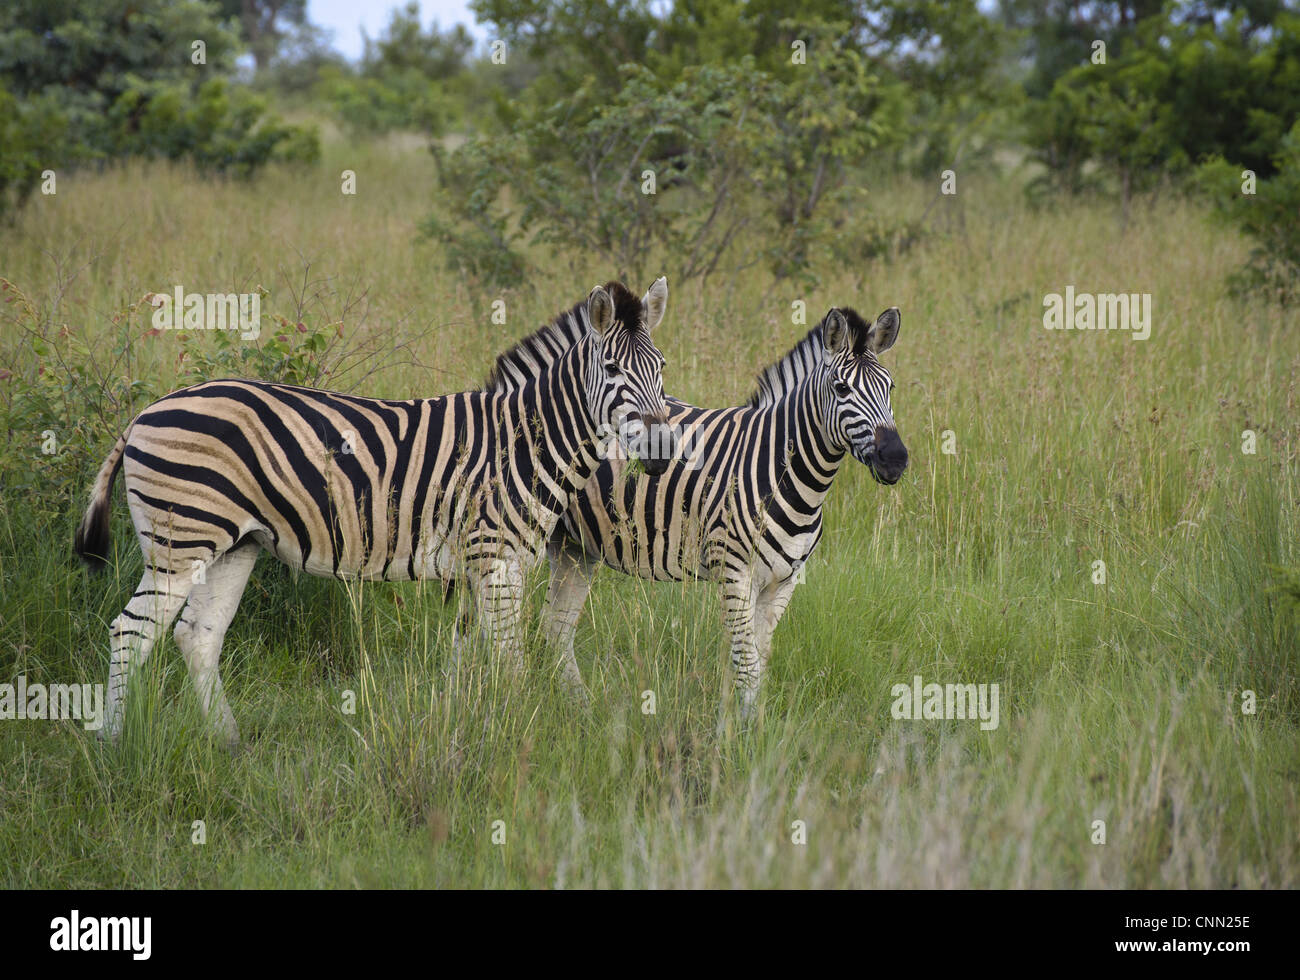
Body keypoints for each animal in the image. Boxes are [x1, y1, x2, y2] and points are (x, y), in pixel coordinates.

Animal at [74, 279, 672, 742]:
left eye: (661, 367)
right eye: (613, 369)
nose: (663, 449)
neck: (524, 442)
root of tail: (148, 409)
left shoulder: (480, 564)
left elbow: (465, 655)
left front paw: (458, 725)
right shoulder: (497, 557)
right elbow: (509, 661)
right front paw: (517, 731)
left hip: (234, 544)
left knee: (197, 634)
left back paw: (228, 742)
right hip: (180, 542)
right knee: (130, 633)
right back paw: (114, 744)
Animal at [541, 305, 907, 717]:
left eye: (890, 387)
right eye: (842, 389)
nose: (896, 458)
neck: (787, 477)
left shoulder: (784, 581)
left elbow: (756, 661)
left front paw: (745, 724)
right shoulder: (734, 571)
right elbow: (747, 666)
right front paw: (744, 731)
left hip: (575, 548)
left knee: (556, 628)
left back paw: (579, 709)